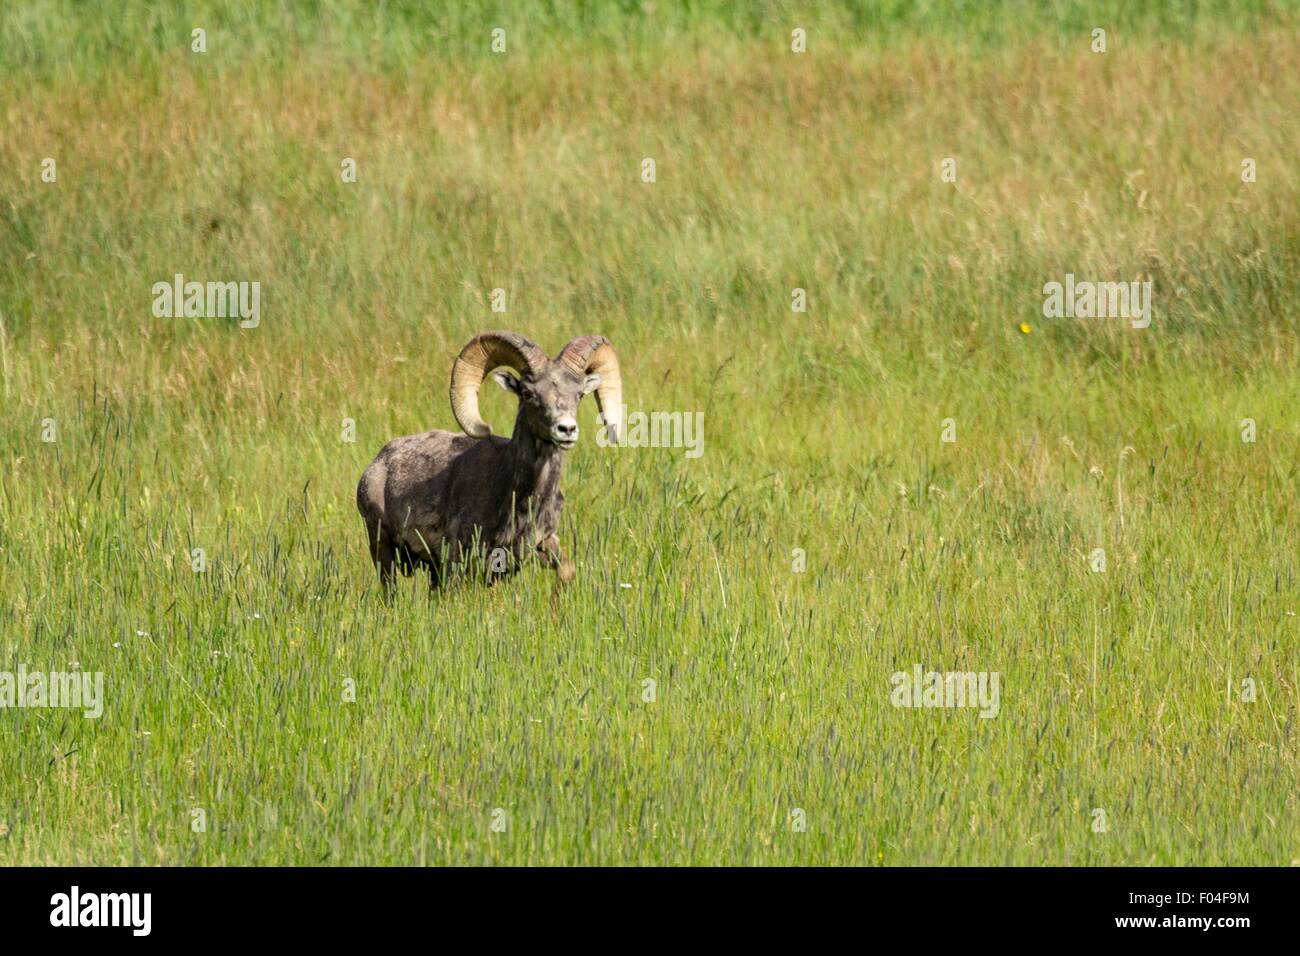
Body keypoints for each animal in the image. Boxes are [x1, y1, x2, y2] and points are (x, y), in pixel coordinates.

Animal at [356, 331, 623, 591]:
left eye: (579, 394)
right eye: (528, 393)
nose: (566, 429)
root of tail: (377, 465)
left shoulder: (537, 546)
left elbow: (566, 571)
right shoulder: (458, 562)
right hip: (384, 553)